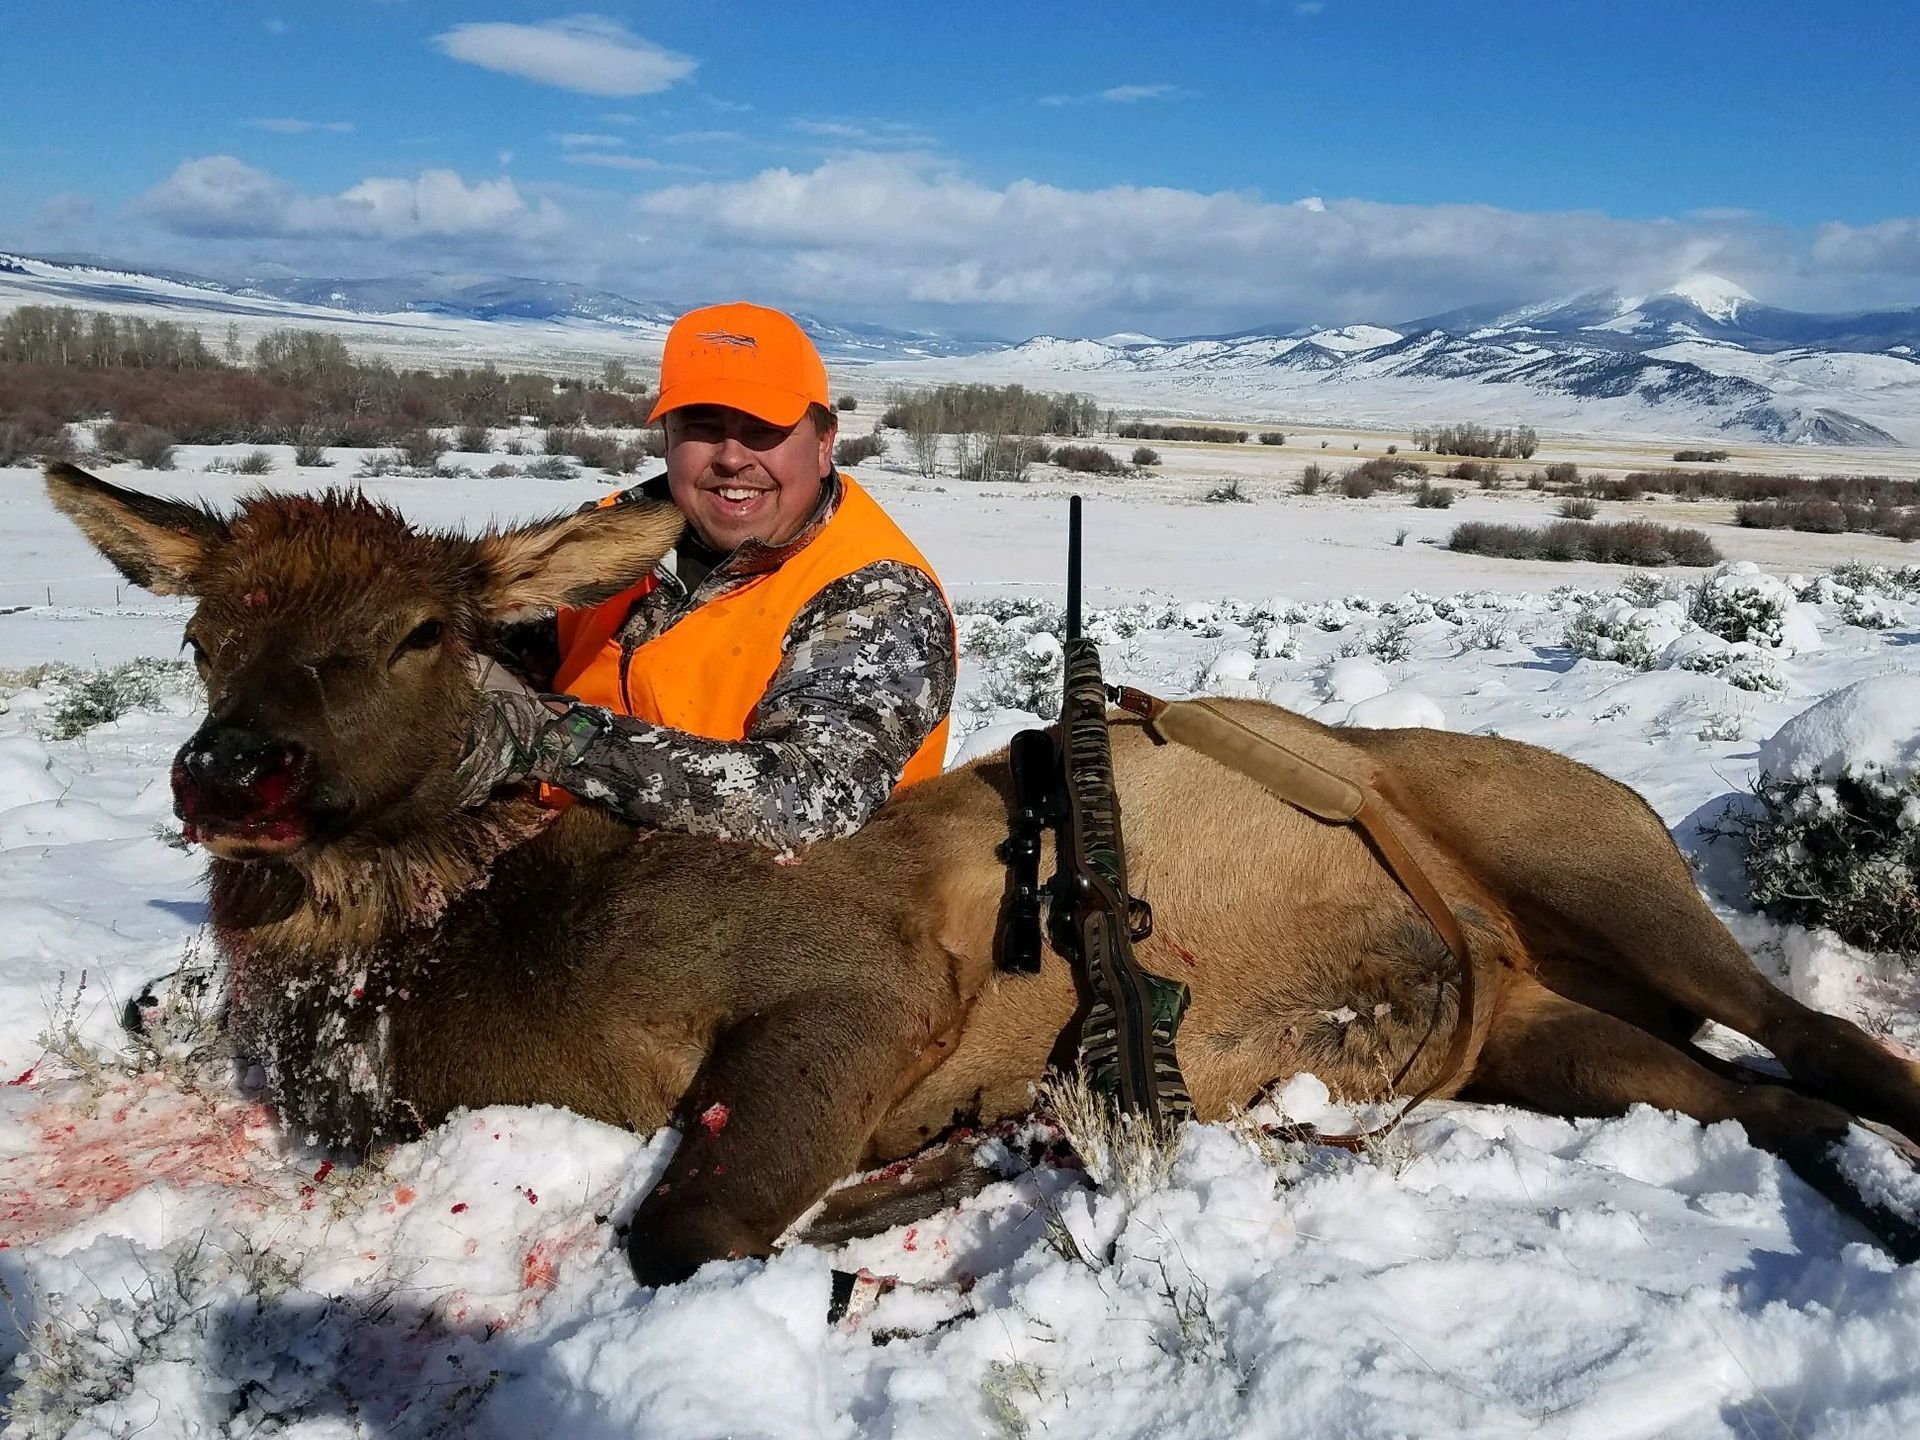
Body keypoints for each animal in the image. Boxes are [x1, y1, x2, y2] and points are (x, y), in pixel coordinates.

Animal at [43, 460, 1920, 1286]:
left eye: (423, 631)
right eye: (206, 632)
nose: (231, 776)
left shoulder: (858, 986)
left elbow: (688, 1230)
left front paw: (942, 1174)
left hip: (1592, 864)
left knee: (1826, 1042)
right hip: (1547, 1034)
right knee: (1760, 1100)